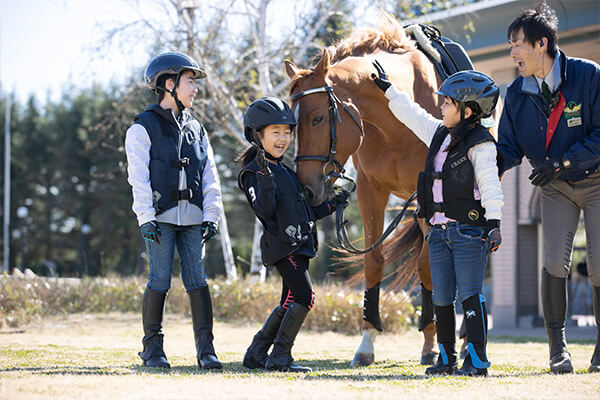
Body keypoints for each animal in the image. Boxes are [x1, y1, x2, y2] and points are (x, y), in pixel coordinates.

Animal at [284, 19, 442, 368]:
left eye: (318, 118)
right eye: (291, 125)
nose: (305, 189)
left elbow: (429, 265)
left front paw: (432, 345)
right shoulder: (371, 192)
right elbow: (374, 262)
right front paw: (366, 343)